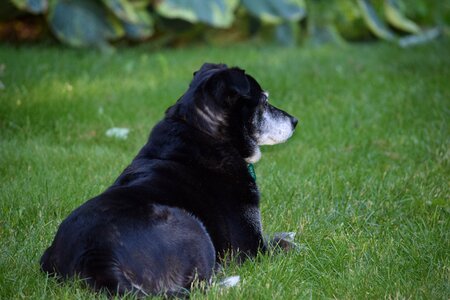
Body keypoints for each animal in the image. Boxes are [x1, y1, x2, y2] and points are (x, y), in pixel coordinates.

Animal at [39, 62, 298, 296]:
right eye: (264, 101)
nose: (295, 121)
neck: (203, 132)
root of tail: (97, 257)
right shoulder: (252, 249)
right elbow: (282, 244)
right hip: (192, 227)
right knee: (200, 284)